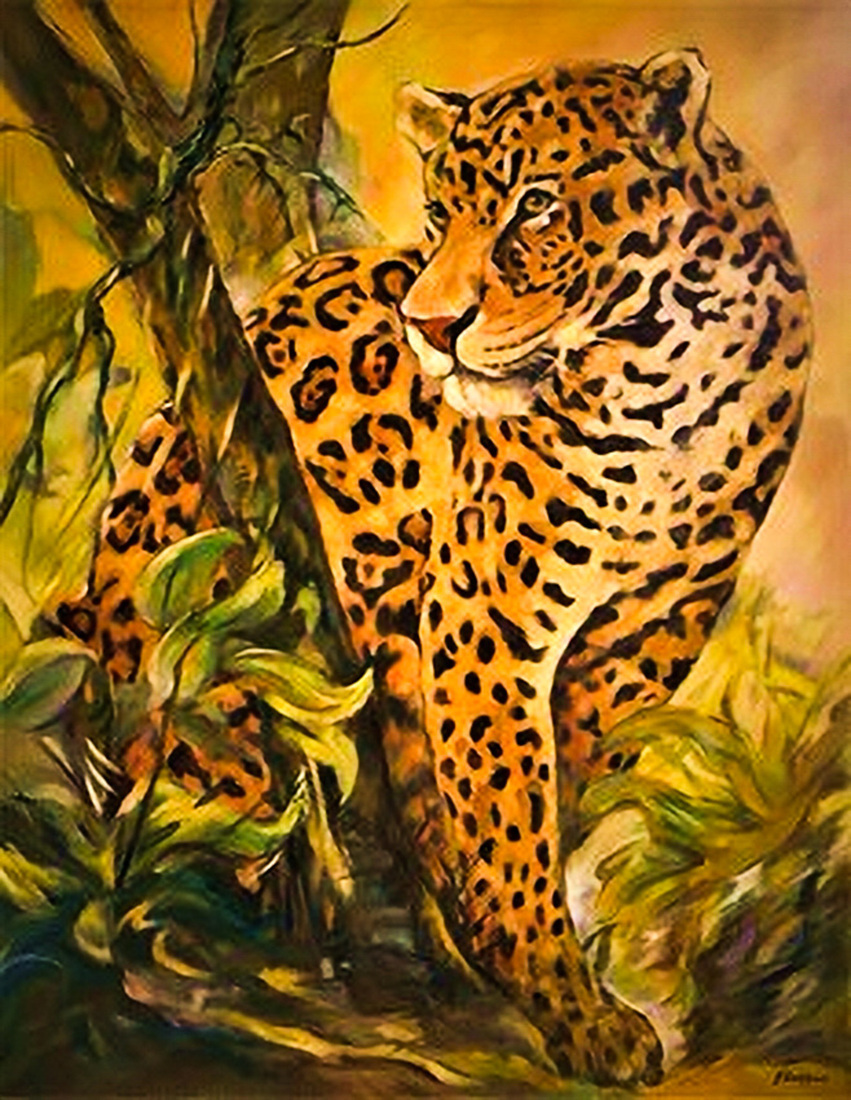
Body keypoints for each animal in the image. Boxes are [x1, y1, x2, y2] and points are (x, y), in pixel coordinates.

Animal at [52, 49, 811, 1085]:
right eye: (442, 214)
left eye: (536, 206)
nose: (431, 325)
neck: (665, 385)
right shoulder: (485, 611)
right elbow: (507, 808)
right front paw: (571, 1007)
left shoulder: (658, 619)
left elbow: (560, 780)